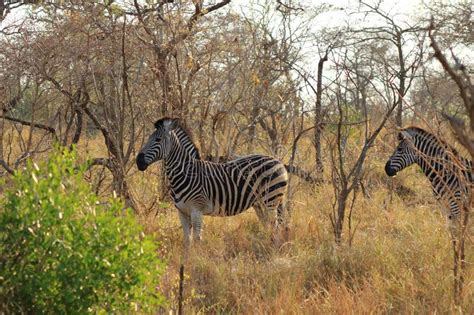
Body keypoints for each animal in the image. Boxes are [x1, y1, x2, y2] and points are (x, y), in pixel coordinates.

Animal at [135, 117, 286, 248]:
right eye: (148, 138)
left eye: (158, 139)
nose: (138, 162)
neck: (185, 174)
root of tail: (278, 161)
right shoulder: (182, 212)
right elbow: (187, 240)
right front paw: (186, 261)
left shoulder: (197, 210)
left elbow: (197, 239)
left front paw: (198, 260)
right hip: (259, 204)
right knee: (268, 226)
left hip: (271, 199)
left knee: (275, 227)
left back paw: (272, 250)